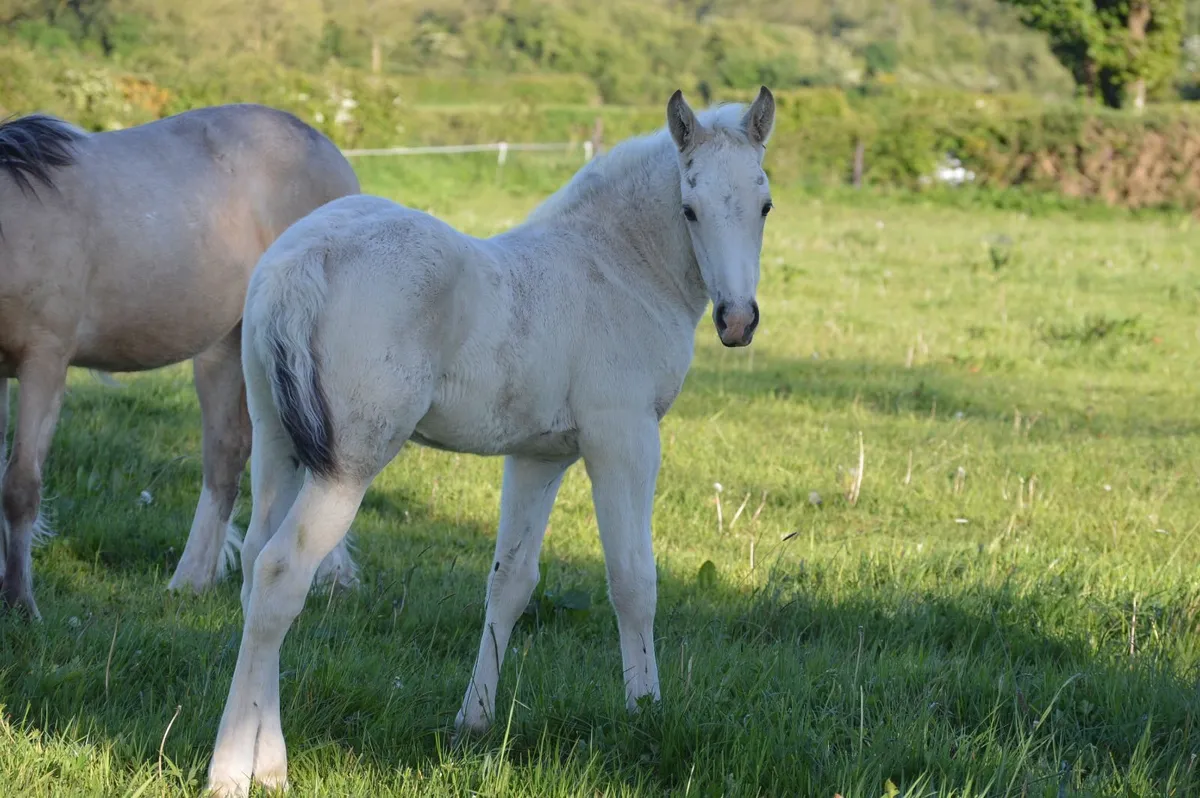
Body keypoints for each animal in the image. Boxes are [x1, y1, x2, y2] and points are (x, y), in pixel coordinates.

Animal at [0, 104, 363, 618]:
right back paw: (193, 581)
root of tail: (327, 149)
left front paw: (20, 603)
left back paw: (327, 577)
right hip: (227, 350)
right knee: (226, 457)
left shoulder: (44, 363)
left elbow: (19, 487)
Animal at [206, 86, 776, 796]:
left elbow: (510, 583)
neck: (612, 268)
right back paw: (234, 769)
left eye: (764, 204)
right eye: (689, 208)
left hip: (278, 442)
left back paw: (269, 761)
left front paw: (473, 723)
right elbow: (633, 580)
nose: (738, 321)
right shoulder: (624, 439)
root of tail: (304, 258)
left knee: (256, 563)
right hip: (350, 463)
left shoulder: (538, 457)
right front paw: (646, 712)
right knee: (283, 573)